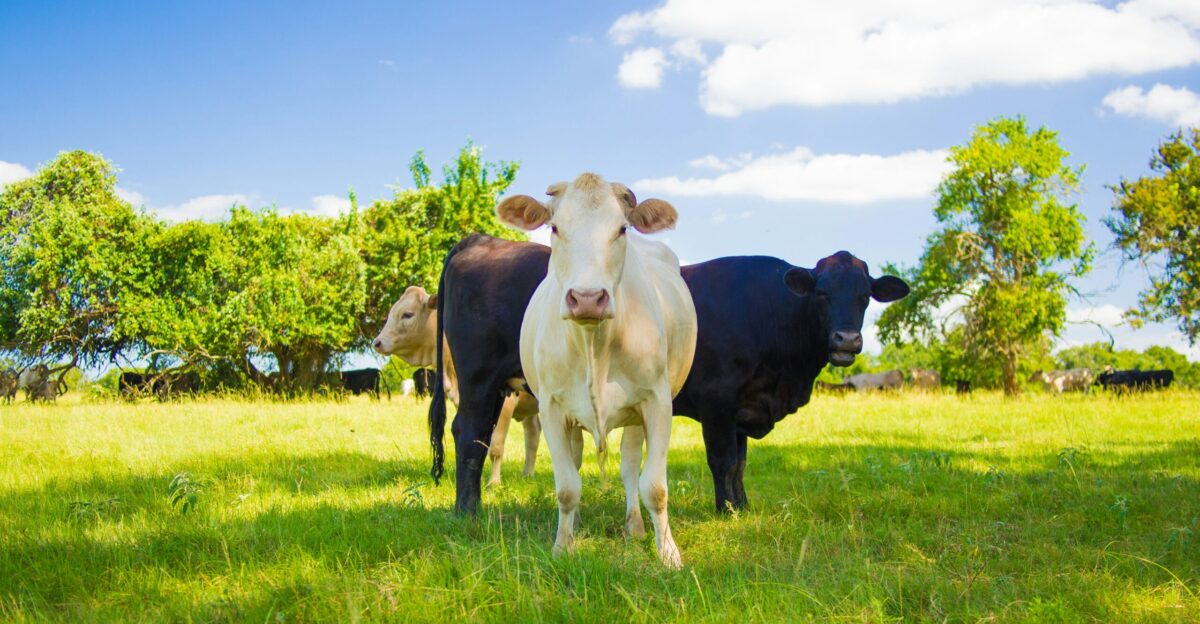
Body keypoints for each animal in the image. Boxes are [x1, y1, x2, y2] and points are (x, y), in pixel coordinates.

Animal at [374, 286, 540, 488]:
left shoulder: (505, 404)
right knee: (533, 434)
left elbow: (495, 447)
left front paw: (493, 483)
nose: (377, 342)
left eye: (407, 314)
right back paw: (527, 475)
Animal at [498, 173, 697, 568]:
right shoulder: (551, 407)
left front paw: (668, 553)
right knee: (576, 462)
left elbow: (655, 486)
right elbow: (566, 487)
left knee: (630, 465)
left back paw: (634, 526)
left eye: (621, 229)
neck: (594, 344)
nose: (587, 298)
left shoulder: (658, 402)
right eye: (555, 227)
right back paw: (575, 524)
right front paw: (563, 546)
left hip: (636, 414)